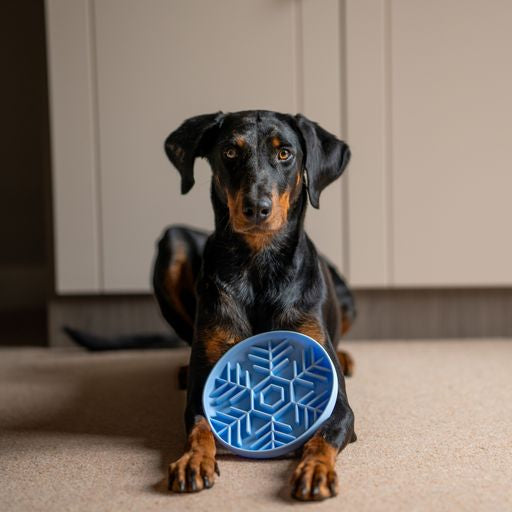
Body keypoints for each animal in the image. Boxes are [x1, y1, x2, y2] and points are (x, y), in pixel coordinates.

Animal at [154, 109, 358, 500]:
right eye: (230, 152)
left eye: (285, 153)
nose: (256, 208)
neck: (259, 265)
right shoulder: (200, 394)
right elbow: (200, 425)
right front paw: (192, 461)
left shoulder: (339, 404)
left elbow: (324, 433)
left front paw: (314, 469)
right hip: (173, 246)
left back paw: (346, 357)